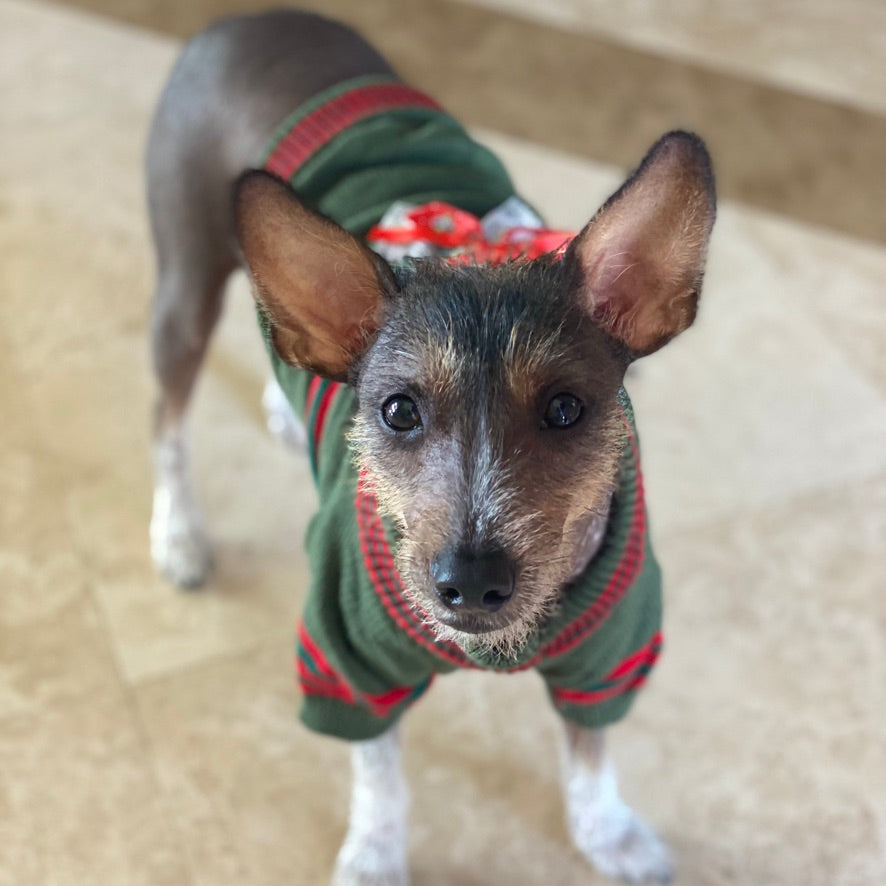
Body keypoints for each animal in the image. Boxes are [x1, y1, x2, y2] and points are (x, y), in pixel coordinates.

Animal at [146, 8, 716, 886]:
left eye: (565, 408)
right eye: (398, 412)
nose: (472, 582)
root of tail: (249, 17)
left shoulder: (612, 651)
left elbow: (591, 753)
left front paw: (611, 834)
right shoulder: (346, 663)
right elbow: (380, 777)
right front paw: (376, 856)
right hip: (183, 279)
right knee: (166, 420)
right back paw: (177, 533)